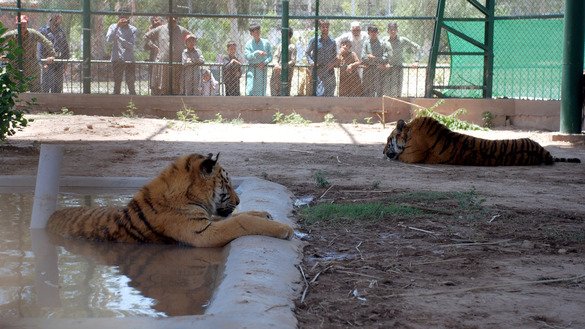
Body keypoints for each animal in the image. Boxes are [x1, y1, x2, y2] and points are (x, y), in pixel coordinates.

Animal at [46, 153, 294, 246]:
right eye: (228, 184)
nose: (240, 200)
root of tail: (50, 217)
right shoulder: (201, 232)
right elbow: (239, 221)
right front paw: (284, 228)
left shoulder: (205, 220)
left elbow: (239, 217)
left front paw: (264, 213)